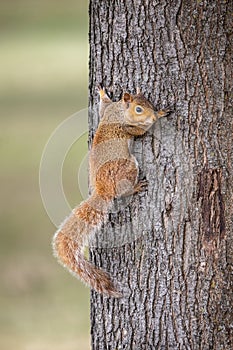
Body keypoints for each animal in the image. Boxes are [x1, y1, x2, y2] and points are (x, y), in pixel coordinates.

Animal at [52, 86, 170, 296]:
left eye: (148, 102)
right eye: (139, 109)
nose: (152, 115)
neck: (120, 111)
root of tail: (102, 189)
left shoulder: (107, 110)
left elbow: (102, 107)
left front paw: (102, 93)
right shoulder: (129, 128)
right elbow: (142, 130)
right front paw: (160, 115)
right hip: (128, 167)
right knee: (122, 191)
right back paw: (135, 188)